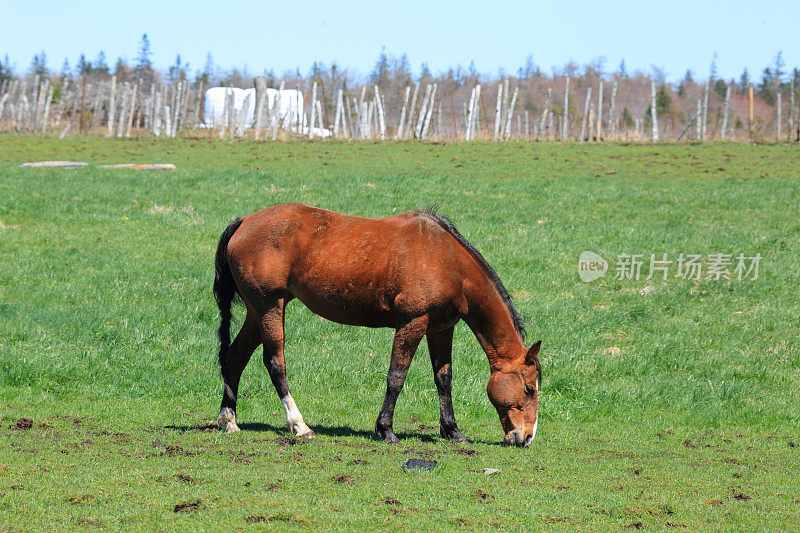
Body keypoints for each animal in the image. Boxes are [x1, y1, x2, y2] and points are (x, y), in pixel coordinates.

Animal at [212, 202, 544, 446]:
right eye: (529, 388)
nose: (527, 437)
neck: (447, 260)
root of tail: (244, 221)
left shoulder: (440, 328)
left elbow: (444, 379)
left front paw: (452, 431)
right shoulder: (413, 323)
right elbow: (397, 376)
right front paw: (386, 429)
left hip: (257, 311)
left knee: (235, 357)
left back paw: (229, 420)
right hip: (270, 307)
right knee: (275, 363)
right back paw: (299, 425)